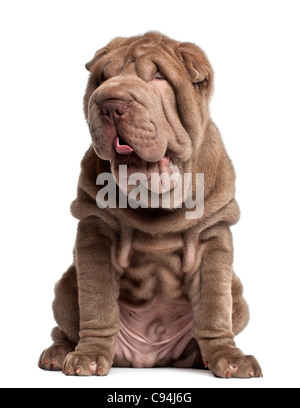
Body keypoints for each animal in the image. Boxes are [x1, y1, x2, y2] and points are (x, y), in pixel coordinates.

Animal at [38, 31, 262, 380]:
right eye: (102, 78)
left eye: (158, 77)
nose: (110, 104)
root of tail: (149, 358)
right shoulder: (95, 232)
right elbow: (97, 302)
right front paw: (88, 356)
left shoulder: (212, 236)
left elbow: (213, 307)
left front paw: (229, 358)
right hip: (64, 287)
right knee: (66, 325)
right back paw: (58, 352)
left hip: (237, 293)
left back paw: (203, 358)